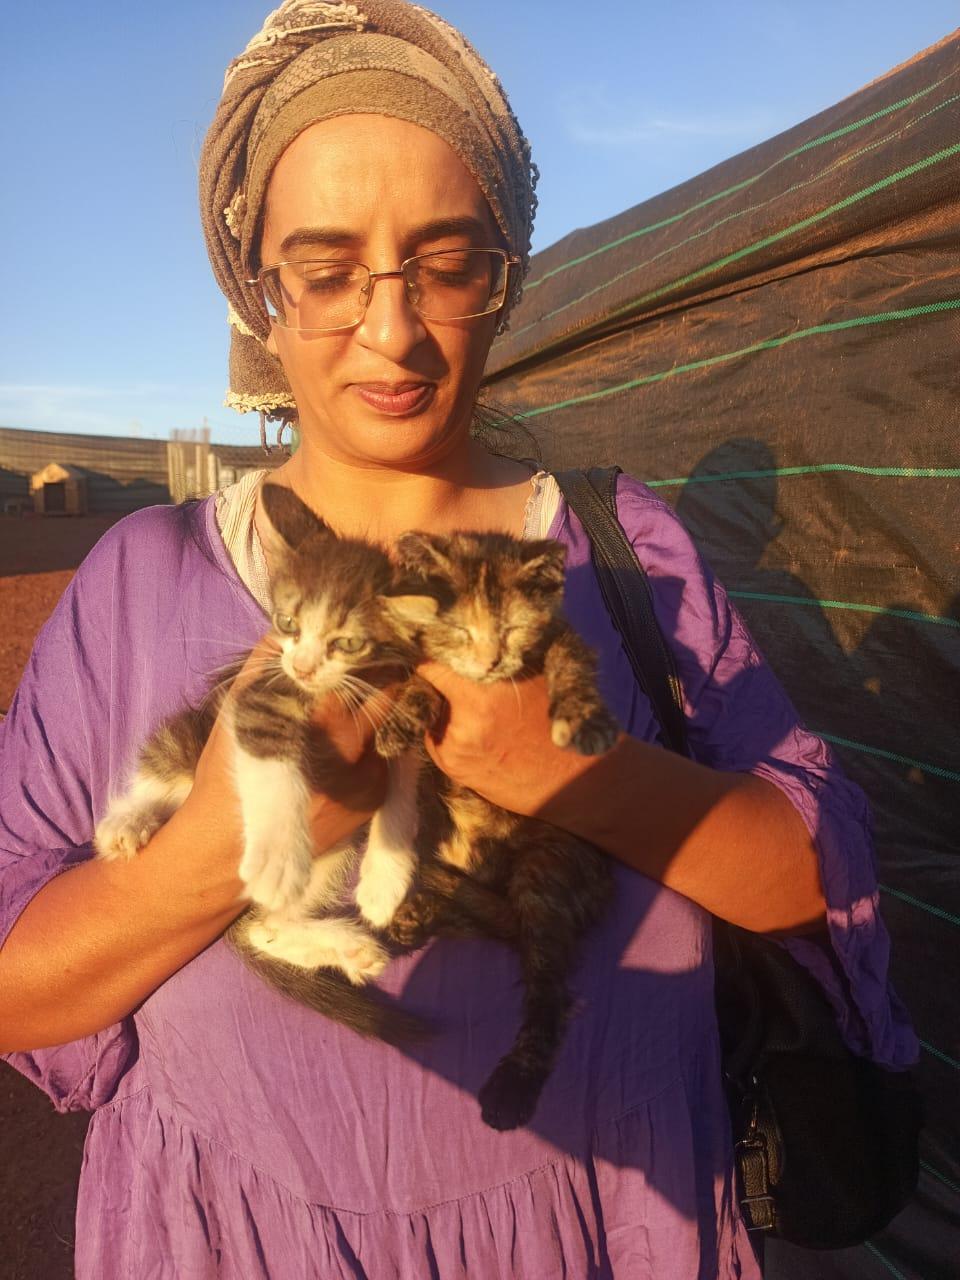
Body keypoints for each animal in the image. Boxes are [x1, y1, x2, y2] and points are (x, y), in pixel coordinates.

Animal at [94, 483, 429, 1041]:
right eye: (287, 622)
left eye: (349, 641)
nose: (303, 666)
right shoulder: (258, 696)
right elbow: (272, 766)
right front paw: (276, 855)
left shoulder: (406, 709)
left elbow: (403, 786)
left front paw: (386, 879)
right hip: (186, 739)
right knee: (156, 778)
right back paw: (127, 823)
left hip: (330, 853)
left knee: (264, 926)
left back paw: (346, 947)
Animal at [375, 530, 621, 1130]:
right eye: (461, 629)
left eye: (511, 629)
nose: (489, 662)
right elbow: (419, 680)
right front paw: (405, 715)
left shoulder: (560, 634)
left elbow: (572, 660)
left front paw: (584, 716)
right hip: (427, 807)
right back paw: (414, 913)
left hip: (551, 865)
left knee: (543, 980)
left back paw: (514, 1085)